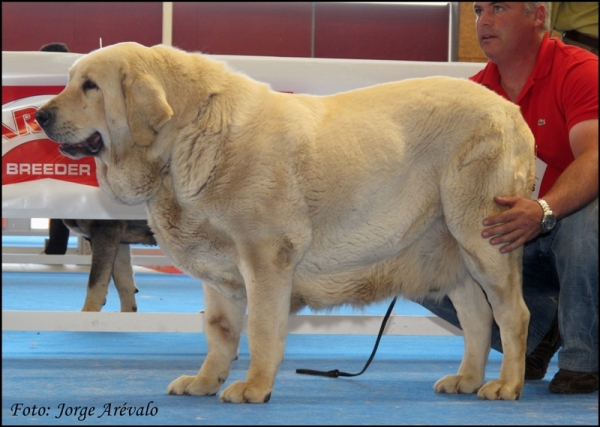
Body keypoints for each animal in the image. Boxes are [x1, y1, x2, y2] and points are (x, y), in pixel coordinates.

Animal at [36, 43, 536, 404]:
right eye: (71, 81)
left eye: (90, 86)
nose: (41, 115)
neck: (185, 139)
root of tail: (509, 109)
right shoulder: (217, 270)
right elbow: (219, 331)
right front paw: (206, 381)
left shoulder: (265, 258)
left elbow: (260, 328)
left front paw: (255, 387)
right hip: (450, 251)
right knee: (476, 315)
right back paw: (466, 378)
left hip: (481, 238)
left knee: (512, 314)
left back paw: (506, 385)